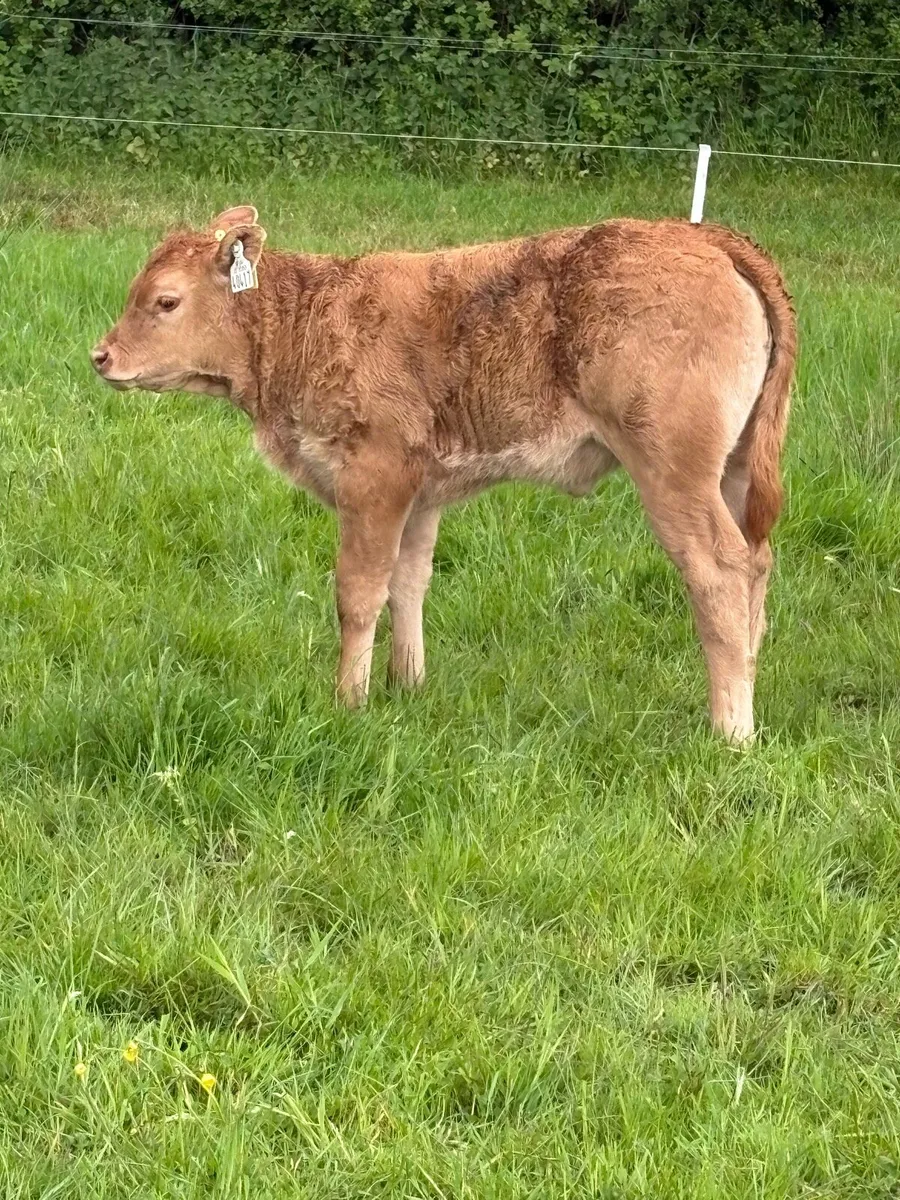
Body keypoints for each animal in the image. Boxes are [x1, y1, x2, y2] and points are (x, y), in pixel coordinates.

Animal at [91, 204, 796, 743]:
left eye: (165, 301)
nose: (101, 357)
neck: (306, 321)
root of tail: (702, 236)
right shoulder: (422, 493)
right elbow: (408, 582)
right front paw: (407, 685)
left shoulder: (374, 478)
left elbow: (358, 591)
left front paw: (348, 702)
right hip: (733, 469)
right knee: (756, 562)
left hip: (673, 471)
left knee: (718, 569)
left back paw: (731, 730)